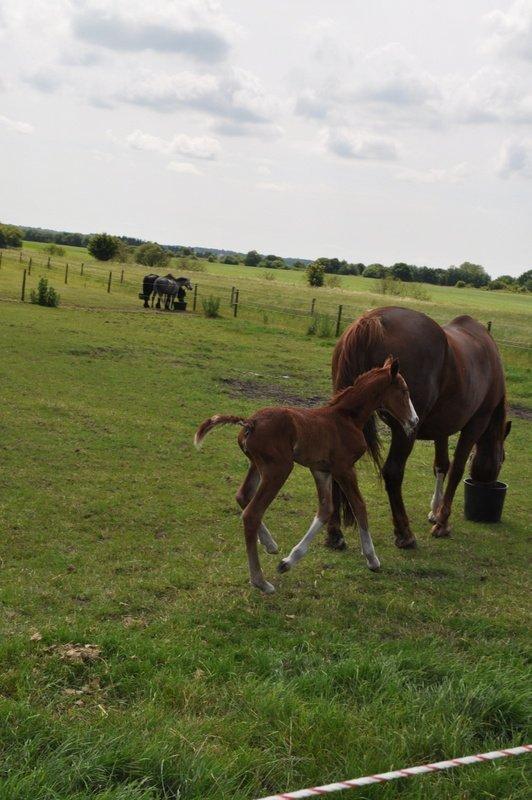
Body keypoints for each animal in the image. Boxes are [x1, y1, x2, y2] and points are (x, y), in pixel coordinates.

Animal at [193, 360, 418, 592]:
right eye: (404, 391)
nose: (415, 421)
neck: (347, 418)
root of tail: (249, 423)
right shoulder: (344, 468)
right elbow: (359, 506)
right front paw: (372, 559)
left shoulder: (321, 470)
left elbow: (325, 509)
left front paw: (287, 561)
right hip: (279, 469)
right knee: (251, 514)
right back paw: (260, 581)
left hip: (256, 465)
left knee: (242, 496)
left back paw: (270, 545)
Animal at [328, 306, 512, 552]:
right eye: (503, 458)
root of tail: (372, 320)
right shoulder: (475, 424)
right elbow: (457, 469)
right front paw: (442, 522)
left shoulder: (443, 428)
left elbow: (441, 465)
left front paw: (435, 511)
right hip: (405, 430)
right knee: (393, 472)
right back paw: (405, 534)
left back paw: (335, 534)